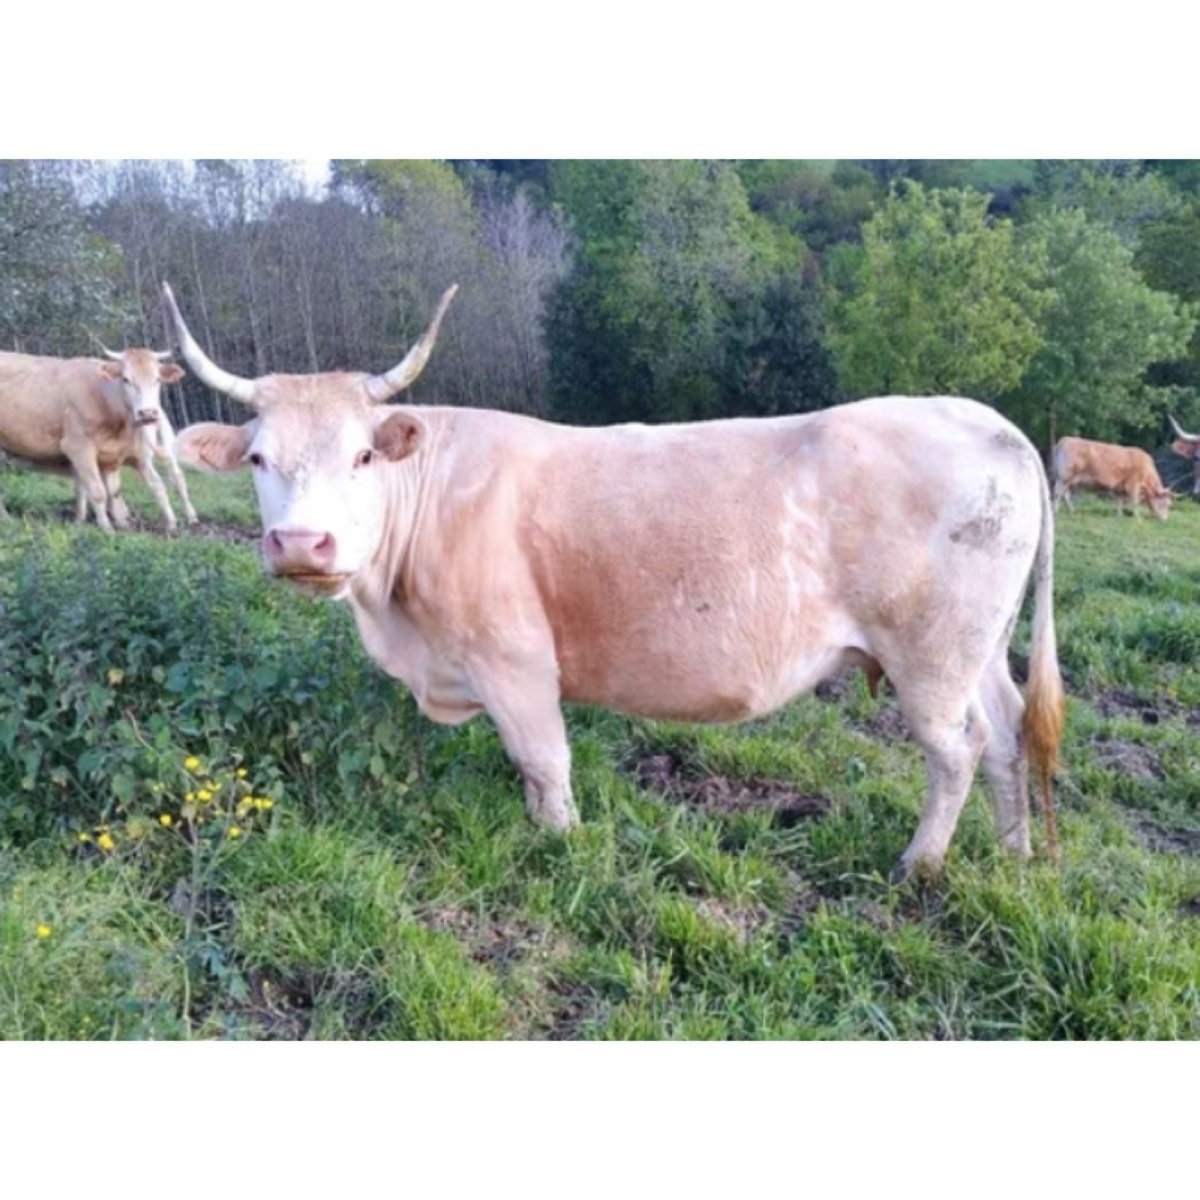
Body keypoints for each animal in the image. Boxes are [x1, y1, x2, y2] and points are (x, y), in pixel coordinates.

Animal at [0, 344, 197, 531]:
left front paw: (123, 524)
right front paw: (107, 528)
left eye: (157, 379)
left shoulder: (114, 456)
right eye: (125, 379)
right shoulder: (78, 448)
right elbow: (97, 491)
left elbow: (114, 492)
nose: (147, 413)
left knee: (172, 479)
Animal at [165, 281, 1065, 883]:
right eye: (257, 458)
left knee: (957, 750)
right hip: (979, 648)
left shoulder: (516, 662)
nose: (300, 543)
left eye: (360, 455)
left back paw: (919, 865)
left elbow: (543, 762)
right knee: (1007, 732)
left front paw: (559, 844)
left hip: (930, 656)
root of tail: (989, 422)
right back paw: (1013, 851)